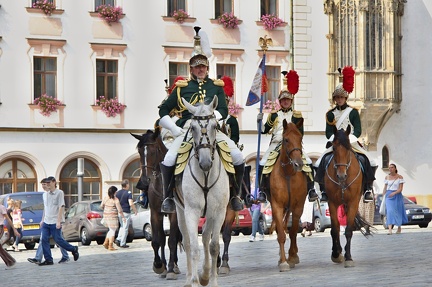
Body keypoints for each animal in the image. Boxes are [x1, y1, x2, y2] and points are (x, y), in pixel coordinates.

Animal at [130, 130, 181, 282]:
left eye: (154, 151)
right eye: (140, 151)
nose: (143, 183)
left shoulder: (174, 214)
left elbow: (172, 240)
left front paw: (170, 270)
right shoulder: (155, 213)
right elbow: (158, 241)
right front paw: (159, 265)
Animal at [175, 97, 231, 287]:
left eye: (215, 126)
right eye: (192, 127)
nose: (205, 163)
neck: (206, 174)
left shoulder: (219, 211)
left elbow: (213, 246)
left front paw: (210, 279)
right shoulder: (191, 212)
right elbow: (193, 247)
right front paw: (194, 281)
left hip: (210, 214)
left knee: (206, 237)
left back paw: (205, 274)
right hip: (179, 211)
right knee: (187, 241)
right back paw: (189, 279)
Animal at [326, 127, 372, 268]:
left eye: (348, 149)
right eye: (334, 148)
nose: (341, 175)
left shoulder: (353, 202)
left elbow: (348, 230)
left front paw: (348, 257)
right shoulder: (332, 203)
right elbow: (335, 230)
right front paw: (336, 254)